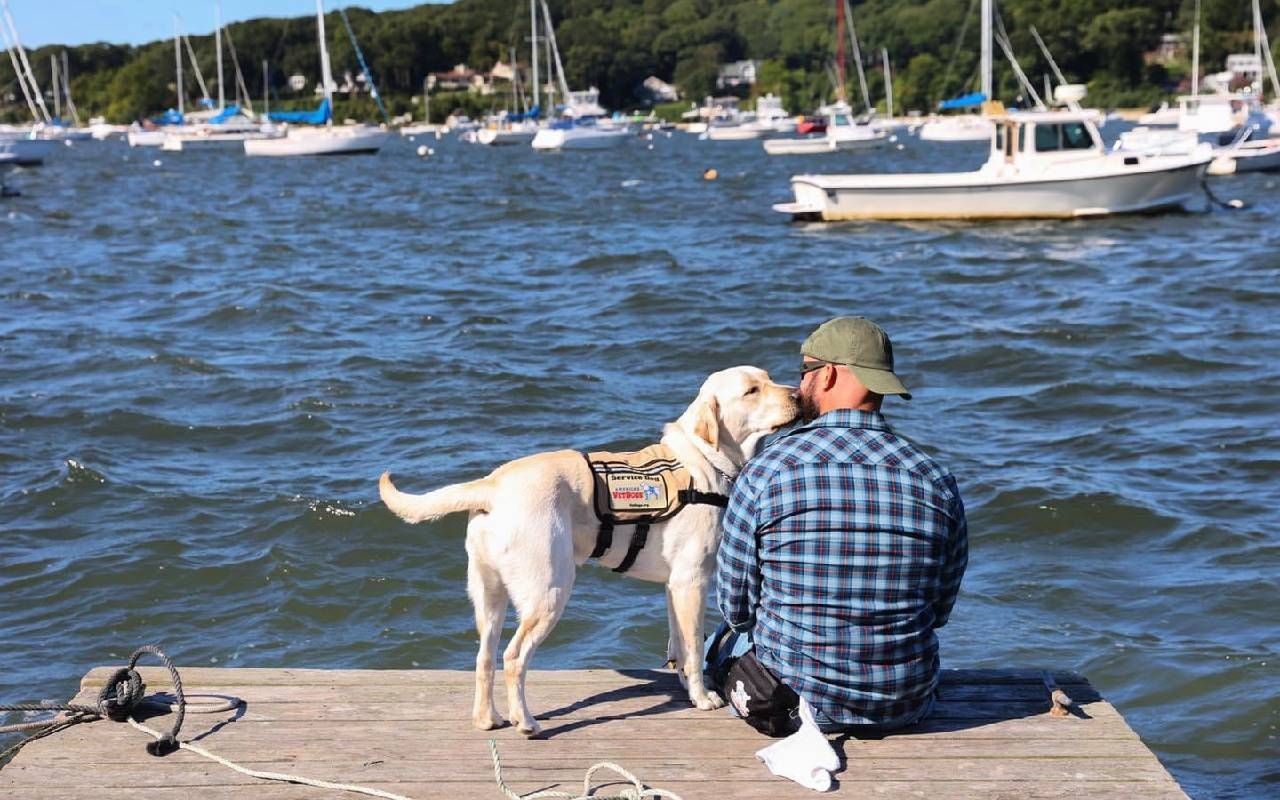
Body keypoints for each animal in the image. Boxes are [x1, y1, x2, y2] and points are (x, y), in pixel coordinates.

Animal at [378, 366, 793, 732]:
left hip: (488, 597)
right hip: (550, 591)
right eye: (751, 391)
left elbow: (677, 642)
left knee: (484, 658)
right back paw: (525, 722)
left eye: (769, 378)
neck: (704, 459)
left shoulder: (674, 586)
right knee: (513, 658)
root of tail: (492, 486)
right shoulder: (692, 582)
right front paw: (702, 697)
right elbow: (692, 647)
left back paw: (487, 719)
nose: (797, 395)